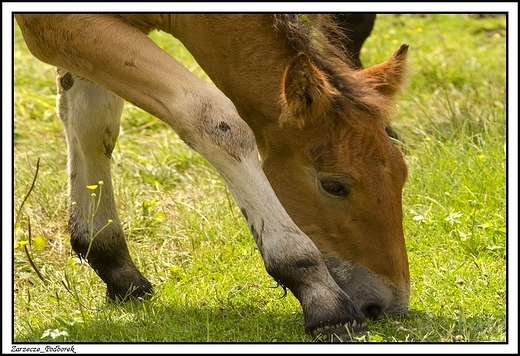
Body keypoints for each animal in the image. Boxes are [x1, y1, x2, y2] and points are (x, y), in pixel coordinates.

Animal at [13, 14, 410, 342]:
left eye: (403, 174)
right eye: (333, 185)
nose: (391, 304)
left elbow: (93, 127)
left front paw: (113, 264)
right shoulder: (56, 25)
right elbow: (214, 118)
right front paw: (320, 296)